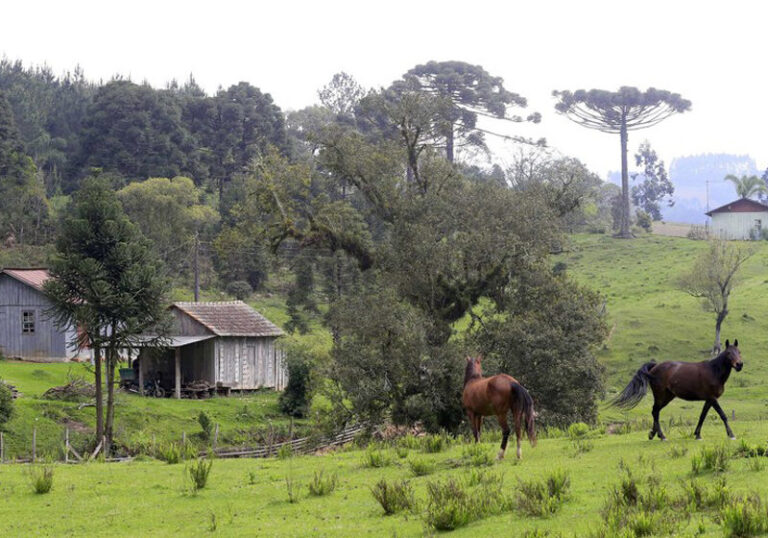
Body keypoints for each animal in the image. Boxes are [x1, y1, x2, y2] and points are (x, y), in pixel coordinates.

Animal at [612, 340, 744, 440]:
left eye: (739, 352)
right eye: (729, 353)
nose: (739, 365)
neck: (714, 371)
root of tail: (654, 366)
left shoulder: (708, 400)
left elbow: (702, 416)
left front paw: (697, 435)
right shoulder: (712, 398)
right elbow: (723, 415)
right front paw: (731, 435)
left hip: (667, 397)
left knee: (656, 411)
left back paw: (653, 434)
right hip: (660, 395)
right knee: (655, 411)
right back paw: (662, 436)